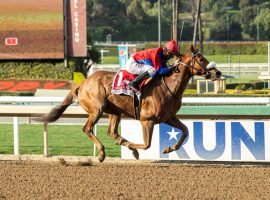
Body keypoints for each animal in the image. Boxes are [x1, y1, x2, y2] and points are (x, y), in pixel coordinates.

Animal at [38, 44, 221, 162]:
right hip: (97, 109)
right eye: (201, 59)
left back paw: (120, 144)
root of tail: (82, 84)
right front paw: (134, 150)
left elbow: (185, 131)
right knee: (87, 128)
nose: (217, 72)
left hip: (114, 112)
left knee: (111, 131)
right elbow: (146, 144)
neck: (169, 87)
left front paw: (169, 148)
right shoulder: (147, 120)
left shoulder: (168, 117)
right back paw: (102, 153)